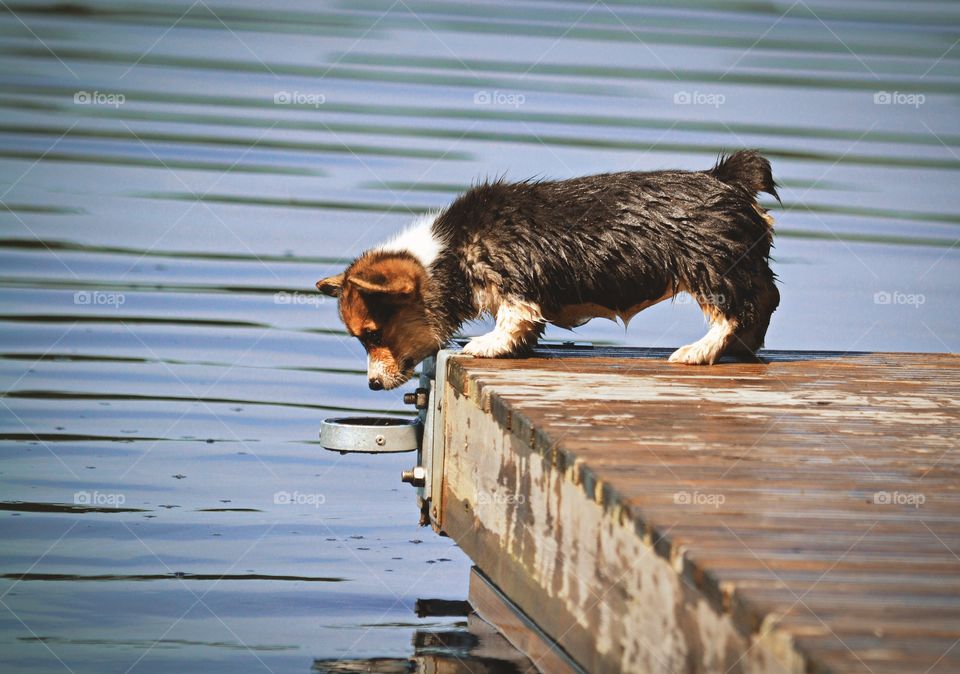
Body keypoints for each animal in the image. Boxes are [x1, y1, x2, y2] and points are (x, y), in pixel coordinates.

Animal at [316, 148, 780, 388]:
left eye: (373, 335)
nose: (373, 384)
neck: (448, 252)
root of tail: (726, 178)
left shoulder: (516, 287)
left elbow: (510, 322)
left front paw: (484, 344)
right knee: (765, 299)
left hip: (710, 266)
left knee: (734, 311)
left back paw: (698, 351)